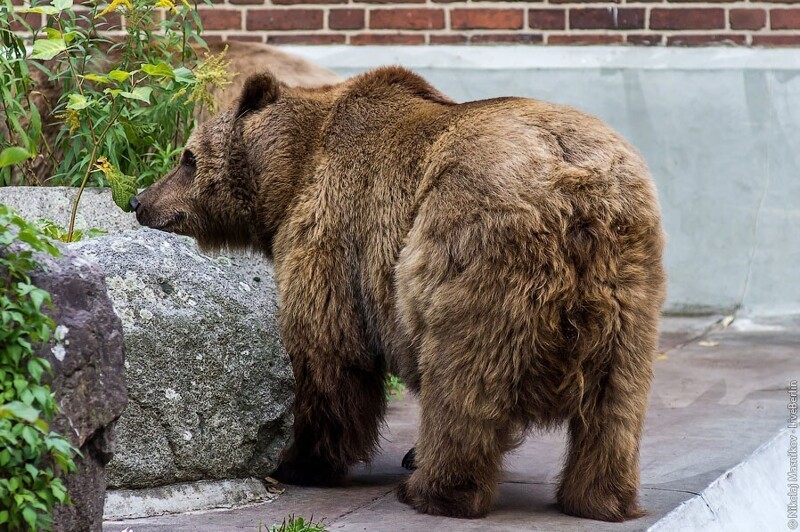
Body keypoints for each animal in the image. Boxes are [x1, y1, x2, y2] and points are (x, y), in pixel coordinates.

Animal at [133, 65, 668, 520]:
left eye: (187, 158)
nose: (140, 200)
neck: (286, 178)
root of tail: (571, 182)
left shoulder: (333, 228)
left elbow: (326, 351)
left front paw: (298, 460)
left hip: (474, 245)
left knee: (461, 375)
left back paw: (436, 489)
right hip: (628, 282)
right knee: (616, 401)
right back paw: (600, 497)